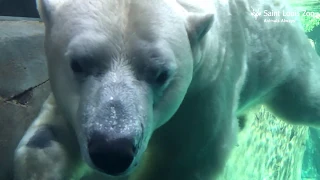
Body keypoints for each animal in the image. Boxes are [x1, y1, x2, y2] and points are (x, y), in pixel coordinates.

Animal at [13, 0, 320, 179]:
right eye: (78, 63)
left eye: (161, 74)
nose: (112, 151)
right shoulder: (76, 105)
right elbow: (50, 137)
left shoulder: (205, 87)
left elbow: (186, 158)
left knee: (304, 100)